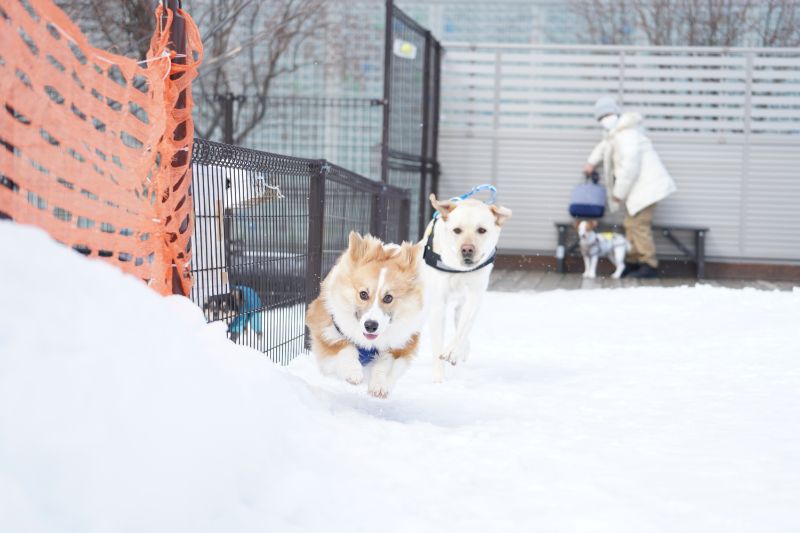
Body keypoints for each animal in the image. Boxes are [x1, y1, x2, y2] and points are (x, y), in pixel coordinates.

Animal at [304, 231, 424, 396]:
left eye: (388, 298)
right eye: (363, 294)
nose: (370, 326)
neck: (368, 344)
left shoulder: (401, 346)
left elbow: (385, 362)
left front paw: (379, 386)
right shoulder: (326, 331)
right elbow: (346, 347)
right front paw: (353, 373)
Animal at [422, 193, 510, 380]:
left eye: (482, 230)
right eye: (457, 230)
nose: (467, 249)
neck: (459, 269)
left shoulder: (475, 296)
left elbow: (463, 328)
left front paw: (452, 351)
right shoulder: (438, 304)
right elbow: (437, 346)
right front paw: (438, 380)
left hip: (461, 304)